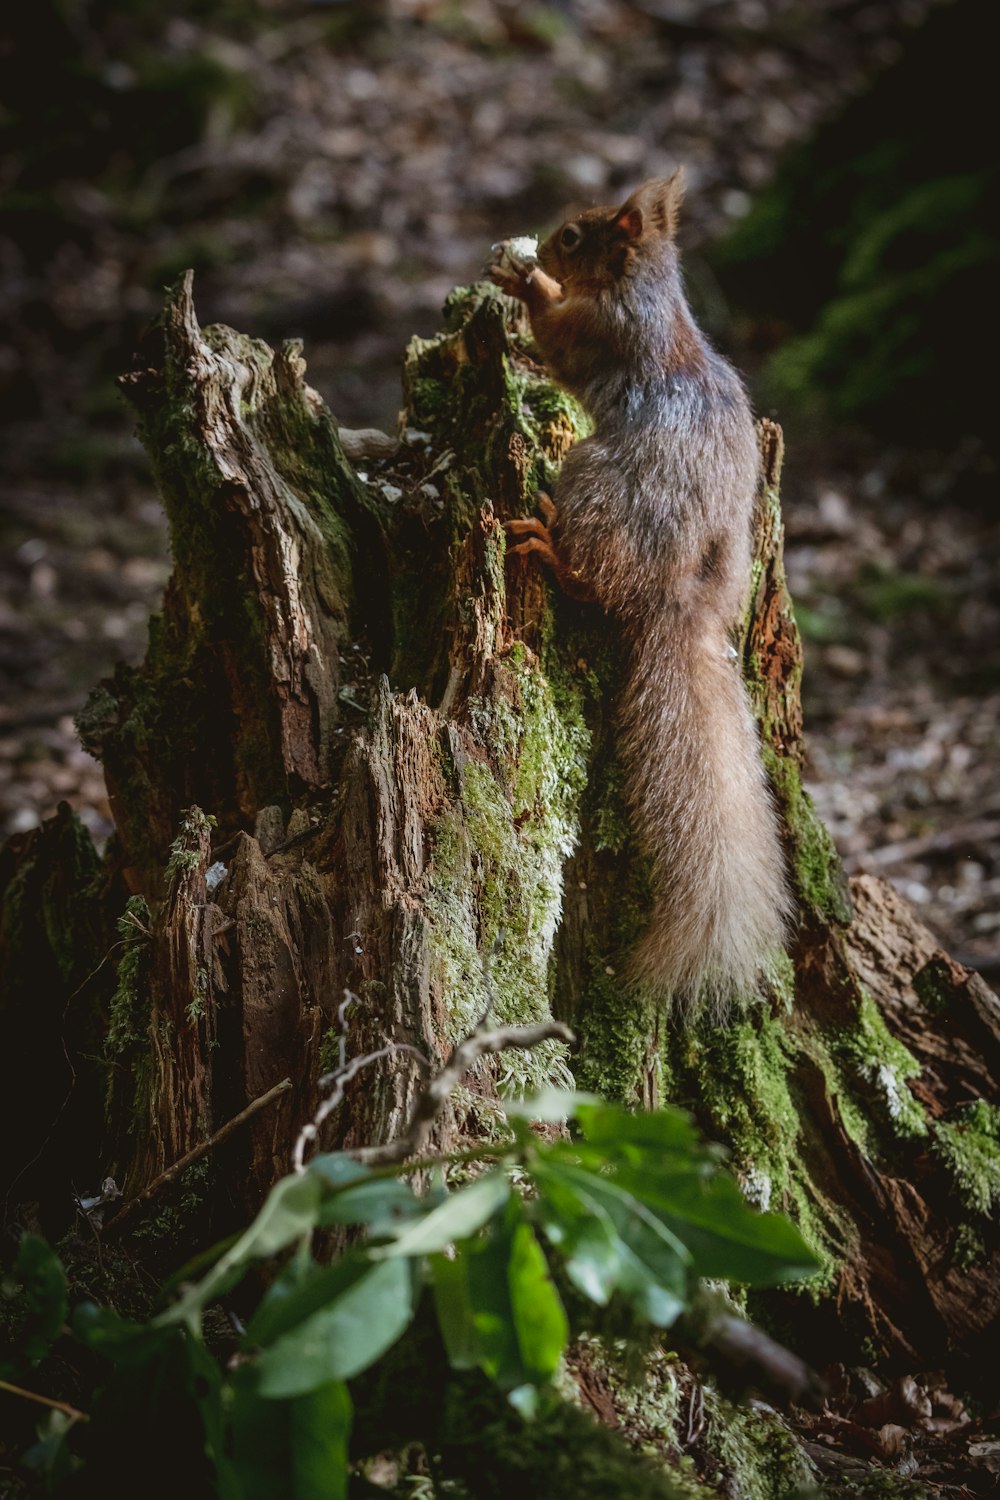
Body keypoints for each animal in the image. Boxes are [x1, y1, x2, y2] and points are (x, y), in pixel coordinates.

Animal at [488, 172, 791, 1020]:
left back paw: (548, 544)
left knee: (593, 578)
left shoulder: (601, 332)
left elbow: (557, 338)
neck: (642, 288)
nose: (542, 237)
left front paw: (525, 280)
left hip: (596, 482)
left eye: (575, 237)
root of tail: (681, 596)